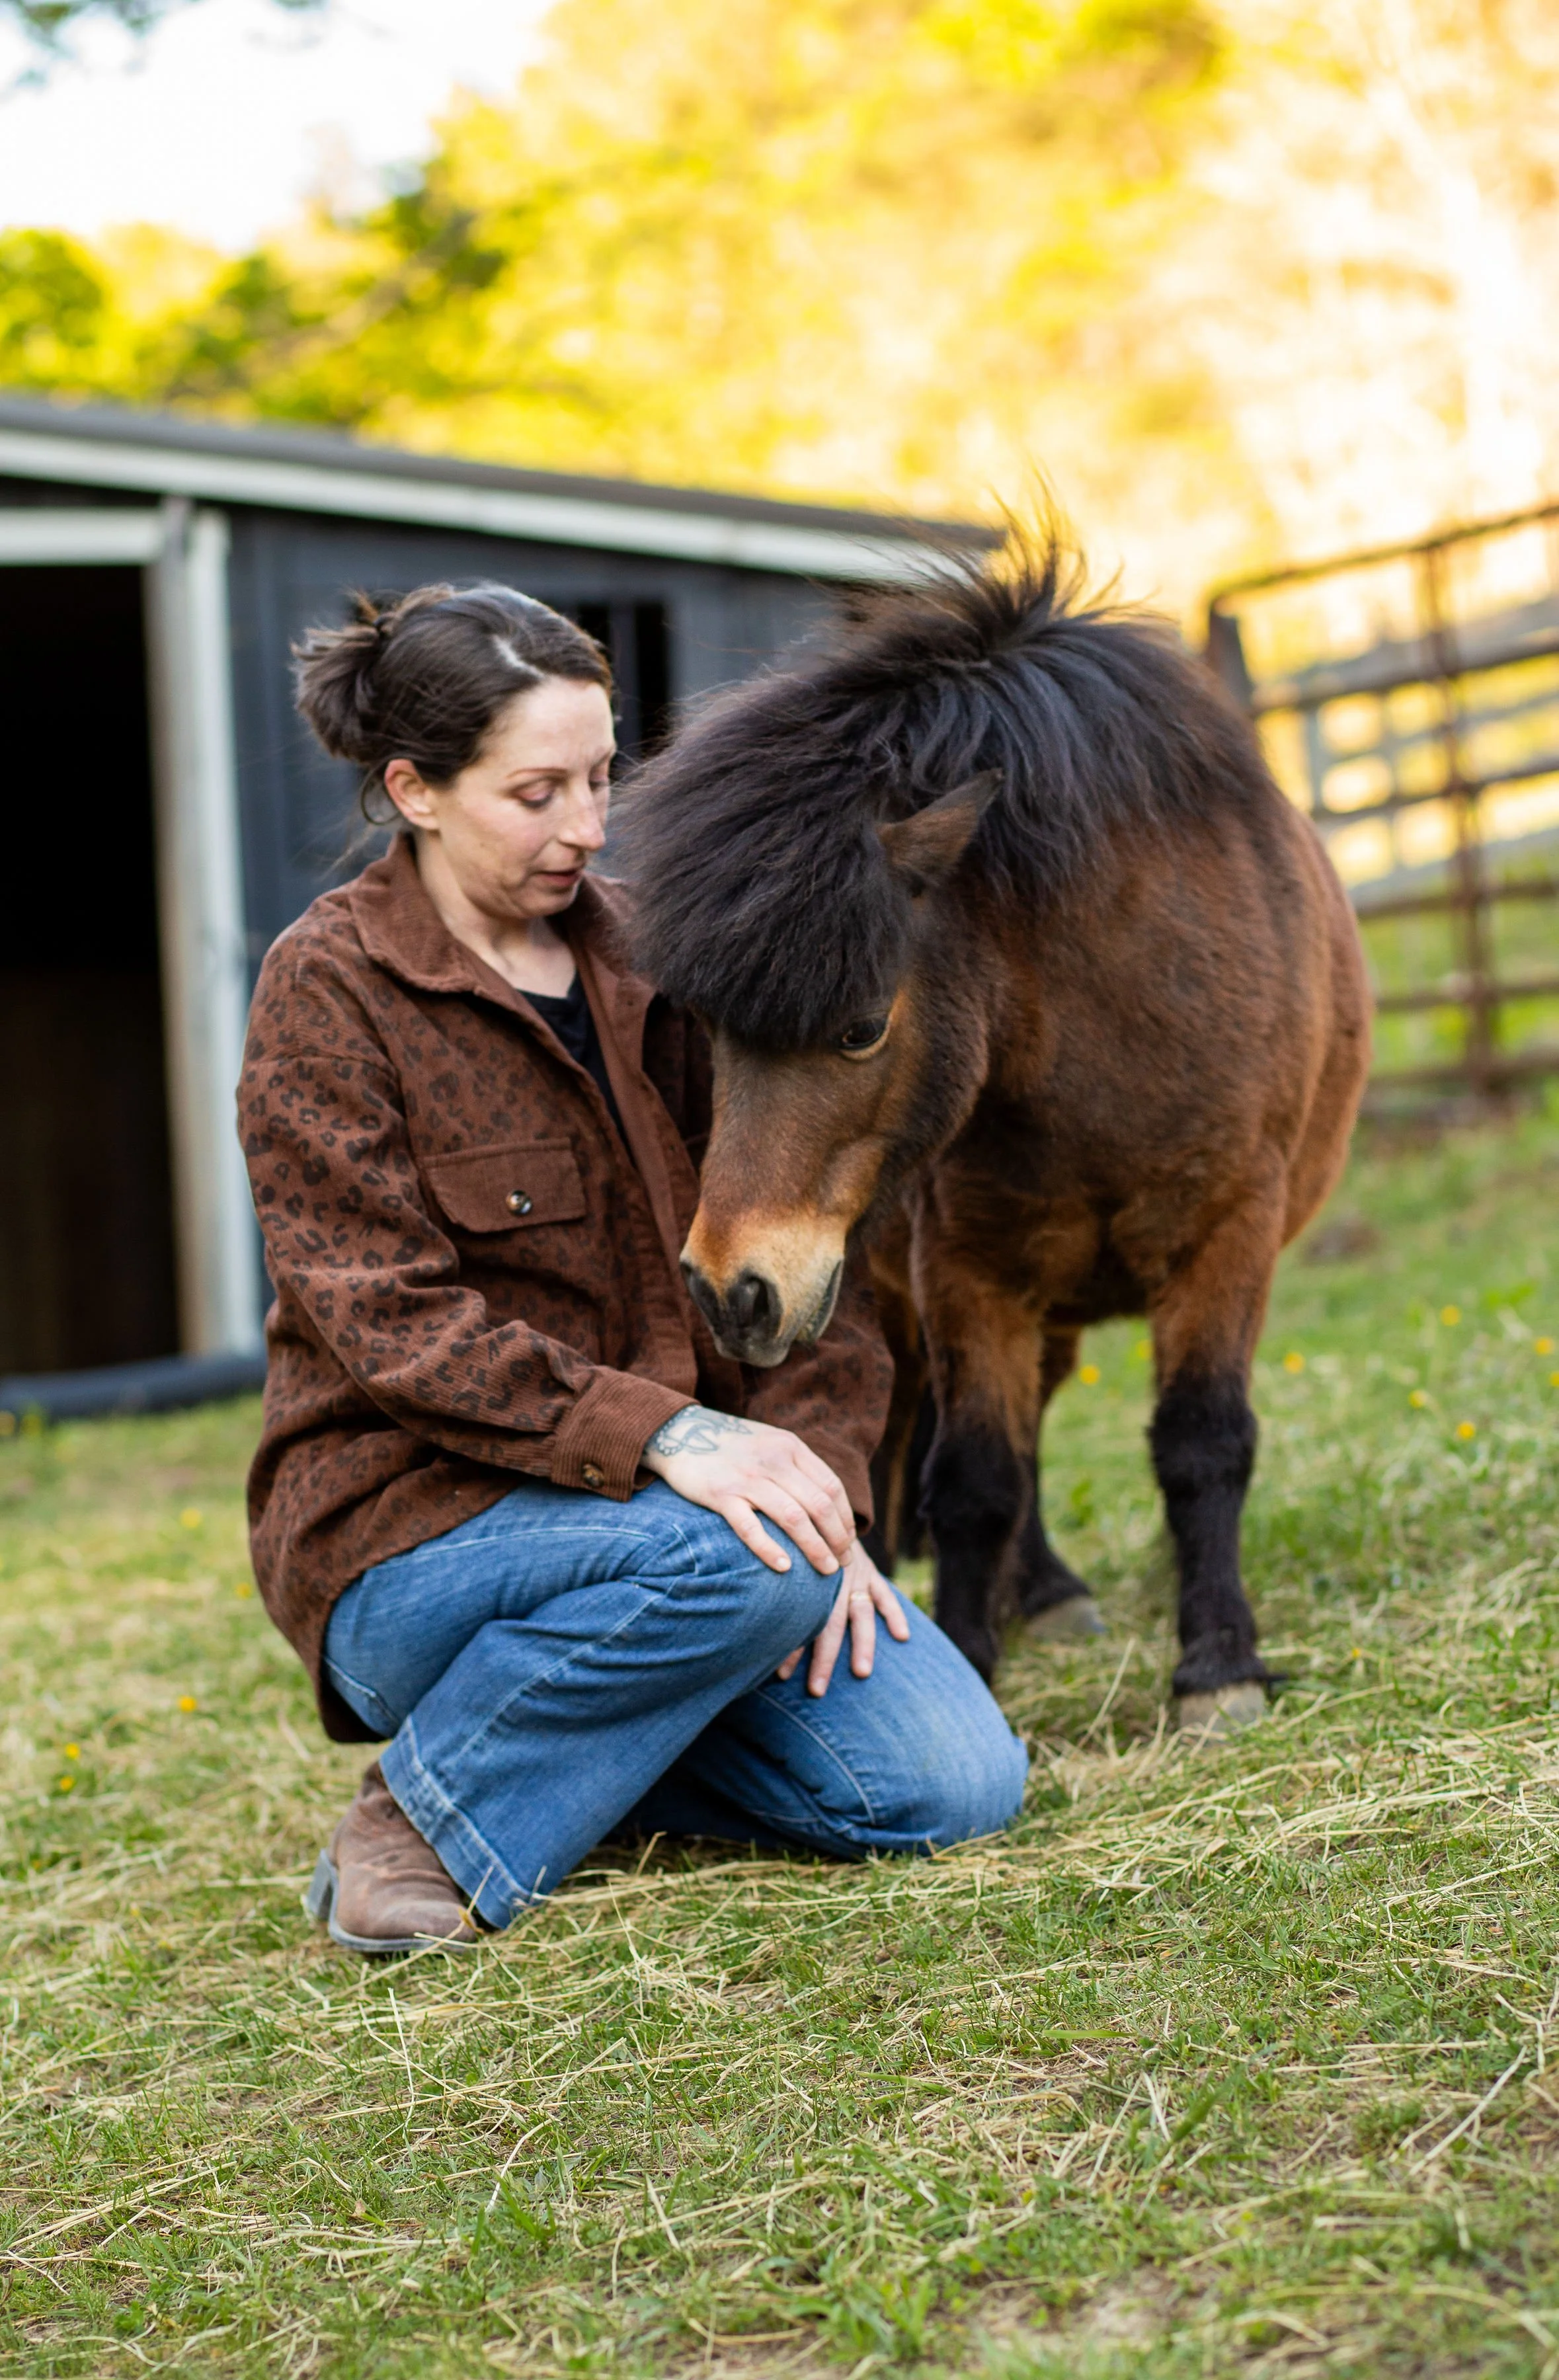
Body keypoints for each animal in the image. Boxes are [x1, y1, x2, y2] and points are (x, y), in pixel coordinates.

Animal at [624, 541, 1371, 1730]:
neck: (1110, 1045)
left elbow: (1201, 1444)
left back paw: (1054, 1589)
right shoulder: (966, 1269)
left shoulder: (1225, 1237)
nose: (726, 1290)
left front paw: (1217, 1666)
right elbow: (974, 1474)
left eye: (861, 1027)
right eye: (708, 1028)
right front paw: (969, 1657)